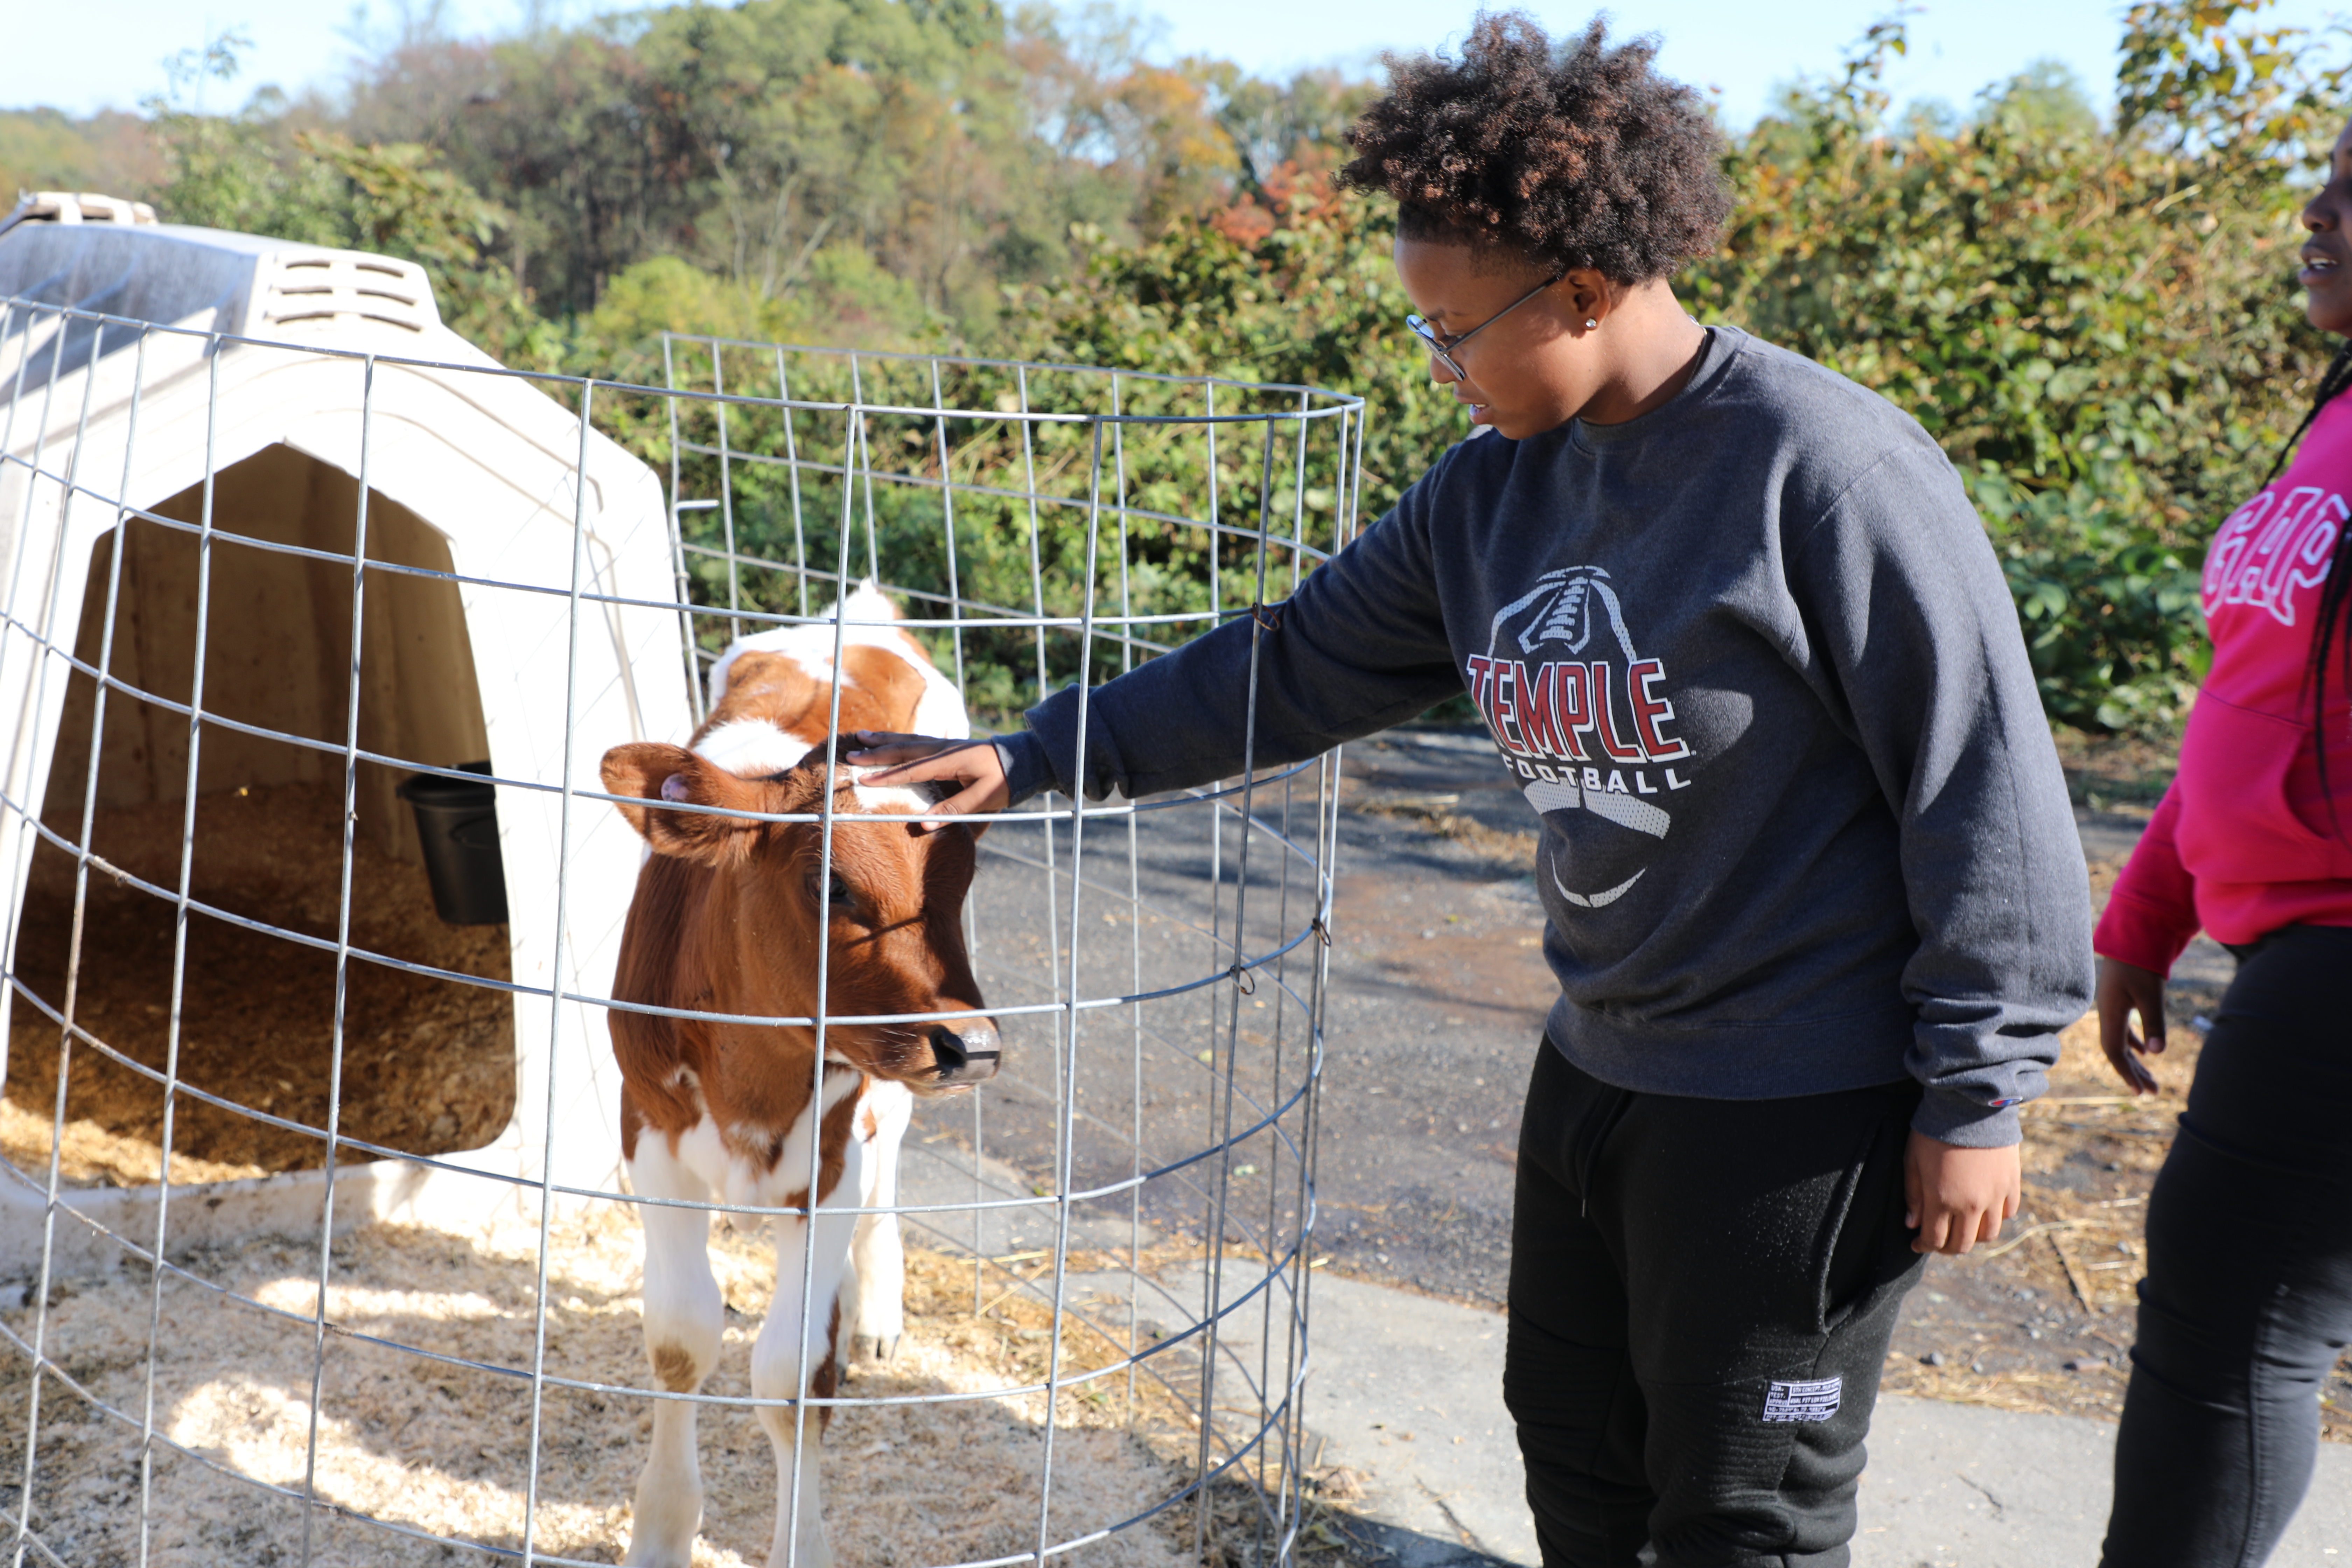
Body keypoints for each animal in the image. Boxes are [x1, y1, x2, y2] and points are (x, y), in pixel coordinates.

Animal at [597, 585, 992, 1568]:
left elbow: (791, 1375)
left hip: (886, 1099)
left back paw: (874, 1306)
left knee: (888, 1173)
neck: (755, 1078)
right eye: (832, 885)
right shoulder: (648, 1134)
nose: (975, 1045)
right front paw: (662, 1531)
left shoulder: (833, 1156)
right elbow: (681, 1340)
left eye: (962, 878)